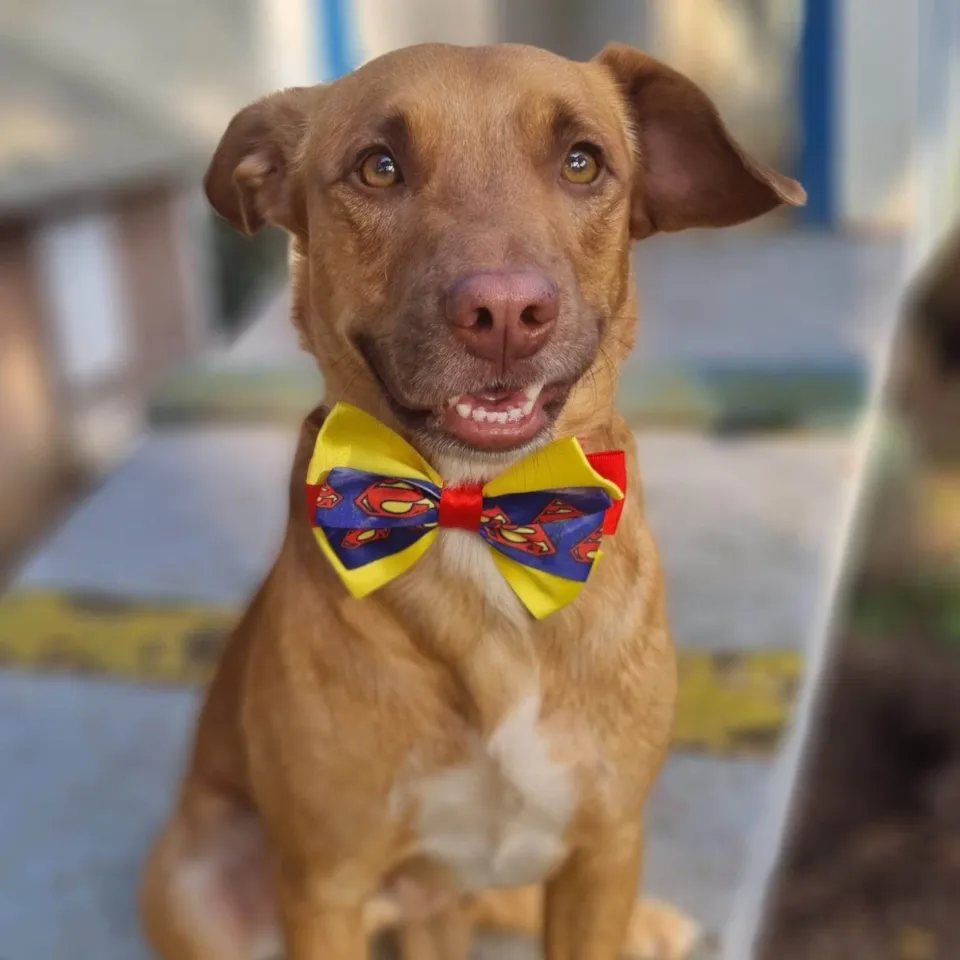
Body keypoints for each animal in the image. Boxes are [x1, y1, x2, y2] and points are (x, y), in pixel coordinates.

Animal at [141, 41, 804, 960]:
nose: (505, 313)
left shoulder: (605, 847)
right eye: (379, 167)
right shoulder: (323, 887)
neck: (478, 515)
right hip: (199, 881)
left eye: (582, 161)